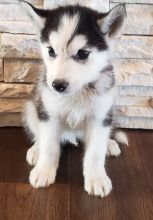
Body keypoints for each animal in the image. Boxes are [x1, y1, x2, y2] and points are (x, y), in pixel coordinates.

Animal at [20, 0, 127, 198]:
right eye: (51, 51)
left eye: (82, 53)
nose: (57, 85)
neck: (78, 93)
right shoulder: (49, 113)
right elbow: (49, 146)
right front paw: (44, 171)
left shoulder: (100, 116)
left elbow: (95, 152)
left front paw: (97, 178)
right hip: (32, 107)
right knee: (38, 133)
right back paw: (36, 149)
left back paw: (109, 143)